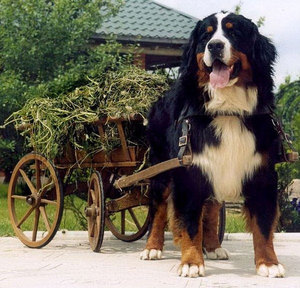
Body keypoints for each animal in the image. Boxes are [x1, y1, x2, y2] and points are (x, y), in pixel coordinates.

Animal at [139, 11, 284, 280]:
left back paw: (214, 247)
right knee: (159, 209)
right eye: (206, 36)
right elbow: (190, 223)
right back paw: (152, 248)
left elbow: (263, 225)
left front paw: (268, 263)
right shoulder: (189, 172)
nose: (215, 46)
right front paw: (191, 262)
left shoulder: (262, 174)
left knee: (212, 208)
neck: (228, 109)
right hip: (161, 169)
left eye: (233, 32)